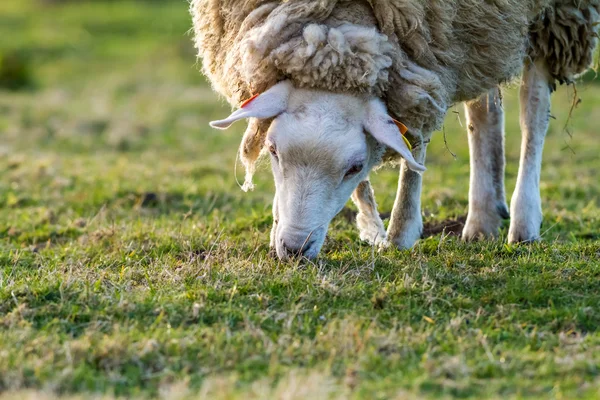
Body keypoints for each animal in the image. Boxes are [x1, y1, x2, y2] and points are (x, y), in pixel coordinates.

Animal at [192, 0, 600, 260]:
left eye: (355, 167)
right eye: (273, 152)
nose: (293, 250)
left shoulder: (427, 50)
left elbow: (415, 144)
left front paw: (401, 232)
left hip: (552, 17)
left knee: (534, 108)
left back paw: (524, 221)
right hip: (484, 33)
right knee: (483, 106)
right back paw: (482, 217)